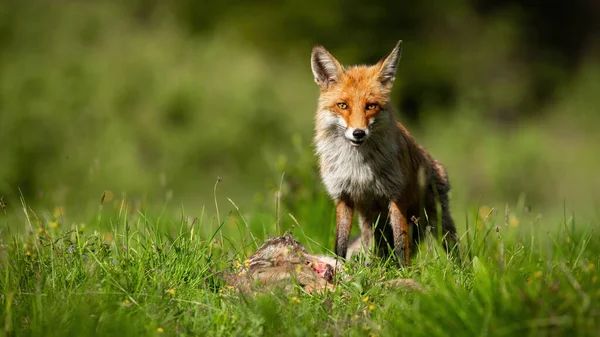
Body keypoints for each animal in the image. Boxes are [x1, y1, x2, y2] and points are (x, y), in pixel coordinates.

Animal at [312, 40, 458, 266]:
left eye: (370, 106)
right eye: (342, 105)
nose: (358, 133)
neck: (358, 167)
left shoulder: (396, 196)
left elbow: (400, 245)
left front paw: (404, 272)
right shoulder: (343, 196)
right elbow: (340, 245)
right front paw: (337, 267)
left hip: (438, 220)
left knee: (455, 251)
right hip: (370, 222)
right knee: (370, 247)